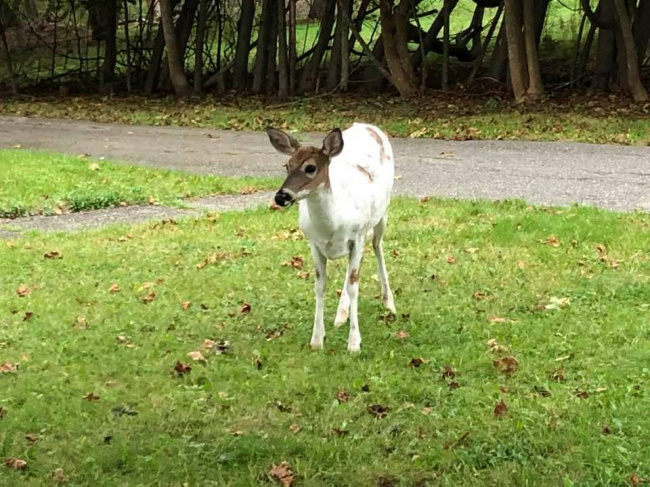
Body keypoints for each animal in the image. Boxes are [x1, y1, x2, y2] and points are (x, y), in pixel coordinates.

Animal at [264, 121, 394, 350]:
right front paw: (317, 340)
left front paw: (354, 343)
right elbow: (320, 285)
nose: (281, 197)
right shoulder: (314, 242)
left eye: (310, 168)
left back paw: (389, 302)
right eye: (287, 165)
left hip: (381, 214)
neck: (332, 225)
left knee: (377, 246)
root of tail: (368, 125)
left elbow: (354, 286)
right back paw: (341, 315)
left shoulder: (357, 237)